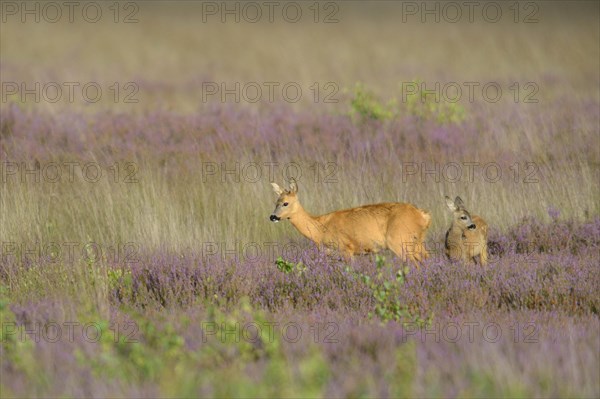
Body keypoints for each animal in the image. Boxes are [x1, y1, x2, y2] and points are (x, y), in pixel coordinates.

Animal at [268, 180, 432, 264]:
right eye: (276, 202)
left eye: (286, 203)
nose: (272, 217)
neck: (319, 229)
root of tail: (423, 215)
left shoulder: (346, 249)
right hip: (417, 242)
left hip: (399, 241)